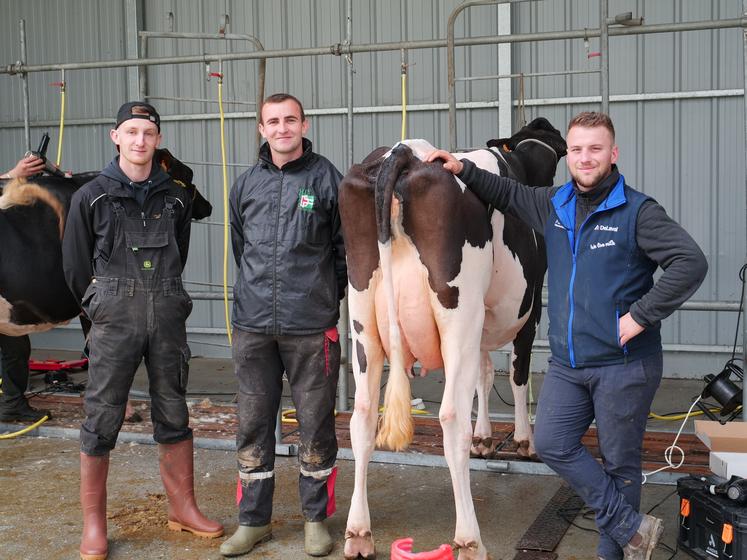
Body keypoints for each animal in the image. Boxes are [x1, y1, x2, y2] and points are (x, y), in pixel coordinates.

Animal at [338, 119, 568, 560]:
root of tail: (404, 151)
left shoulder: (480, 326)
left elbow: (483, 375)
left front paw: (485, 438)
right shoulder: (529, 315)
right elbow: (517, 376)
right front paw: (523, 441)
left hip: (363, 319)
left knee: (362, 416)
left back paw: (358, 532)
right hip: (457, 315)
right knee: (449, 418)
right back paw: (469, 539)